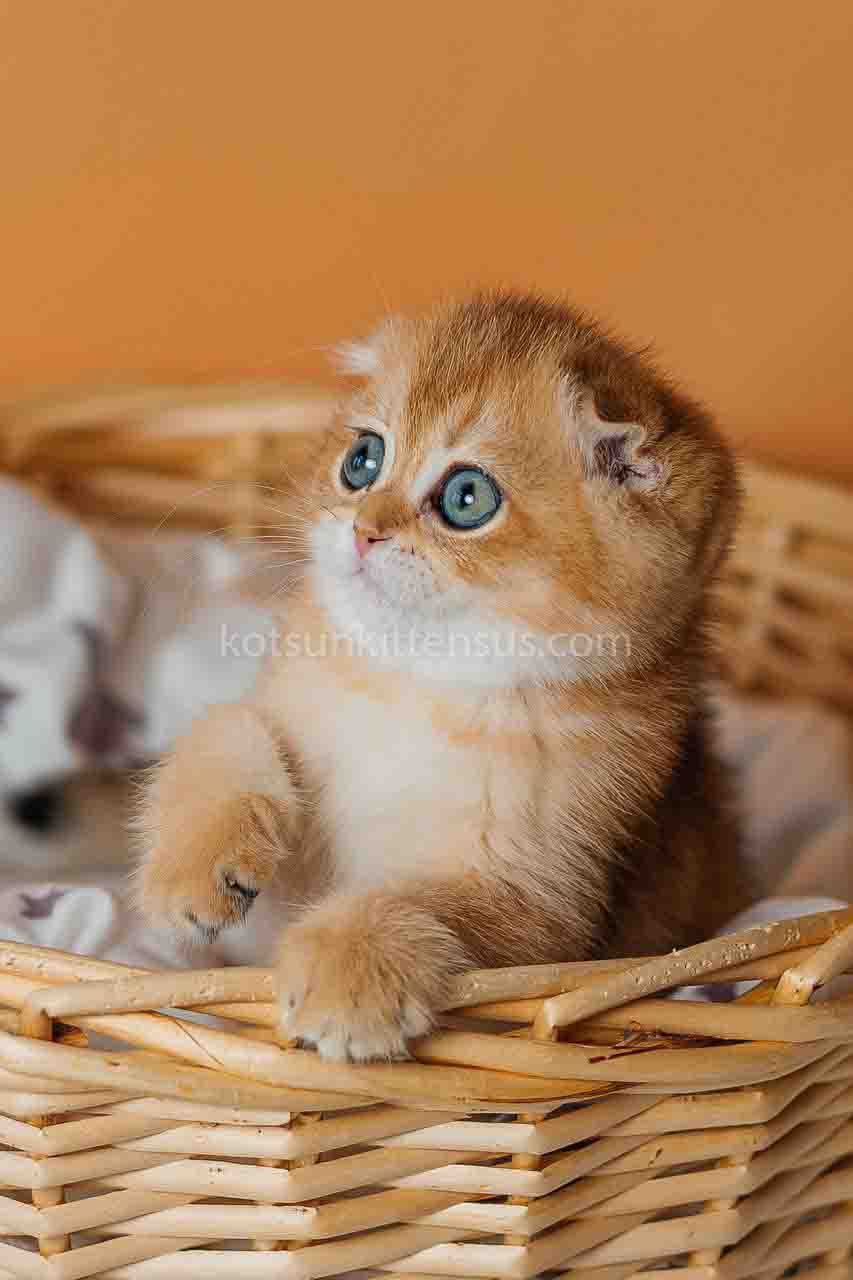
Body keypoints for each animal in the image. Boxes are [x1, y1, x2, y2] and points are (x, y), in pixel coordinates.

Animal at [136, 291, 751, 1061]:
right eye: (362, 459)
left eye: (466, 497)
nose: (362, 530)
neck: (414, 687)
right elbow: (226, 725)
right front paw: (194, 868)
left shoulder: (547, 904)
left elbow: (415, 897)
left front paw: (348, 973)